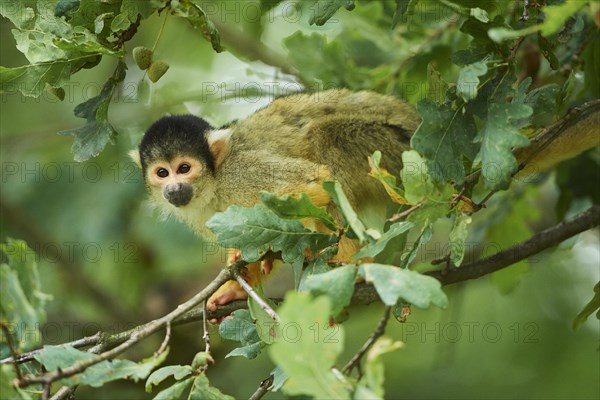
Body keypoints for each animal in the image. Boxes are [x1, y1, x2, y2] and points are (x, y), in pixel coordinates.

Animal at [134, 90, 596, 310]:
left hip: (400, 157)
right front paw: (241, 278)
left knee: (327, 140)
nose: (174, 189)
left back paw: (351, 258)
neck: (213, 185)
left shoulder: (242, 175)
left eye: (185, 167)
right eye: (162, 173)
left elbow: (314, 183)